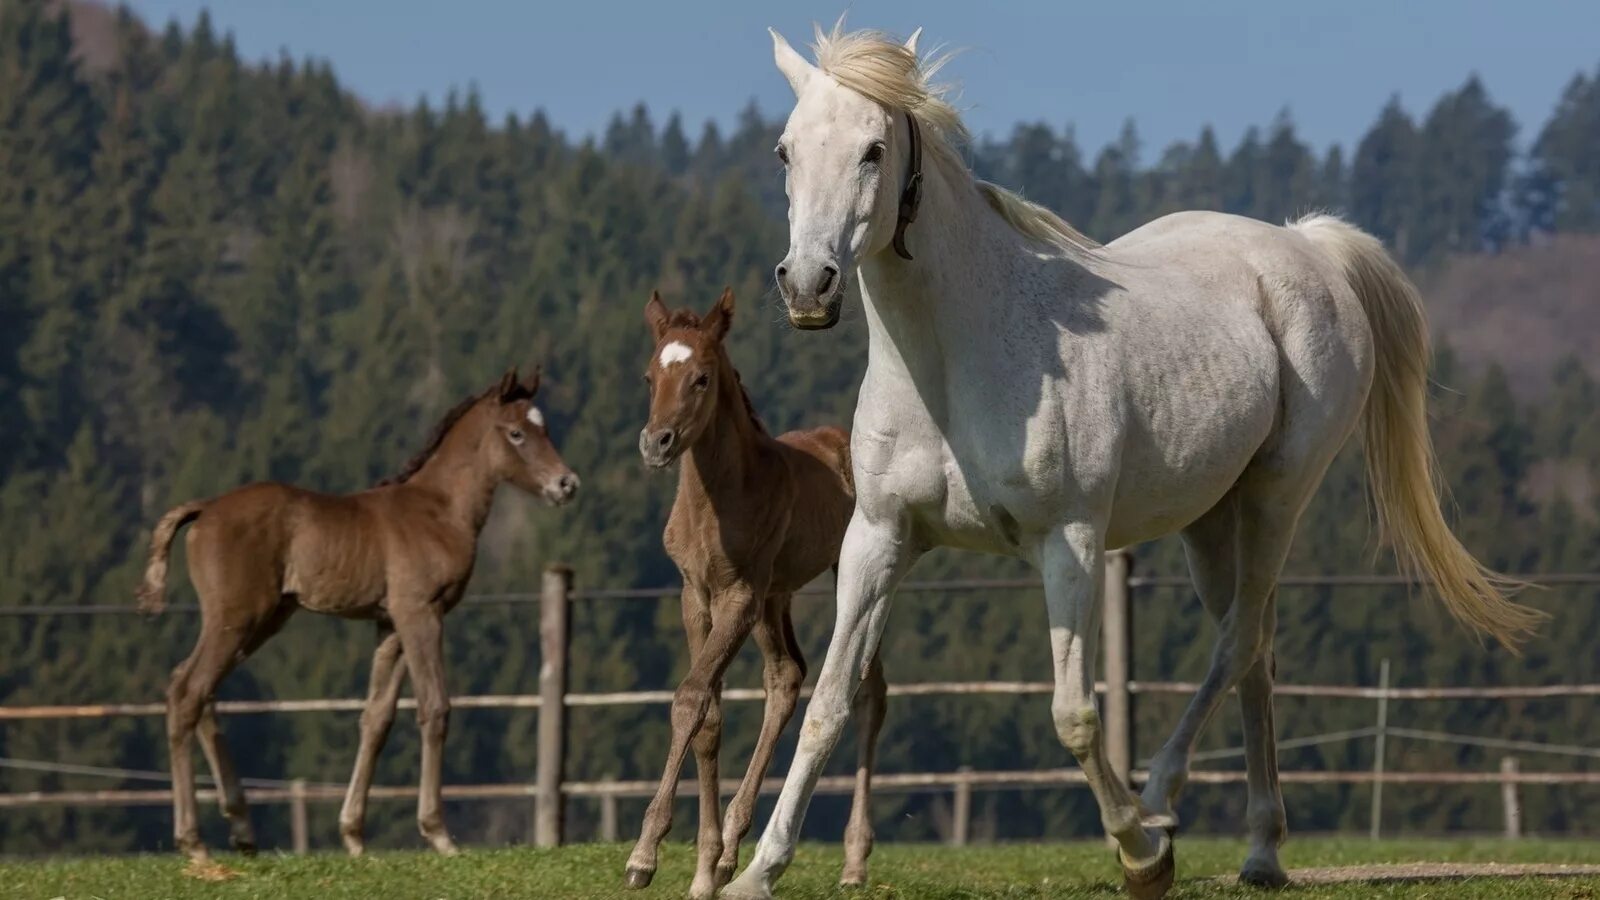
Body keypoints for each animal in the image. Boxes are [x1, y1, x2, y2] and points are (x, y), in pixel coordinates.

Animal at [136, 368, 576, 858]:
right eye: (517, 433)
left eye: (545, 428)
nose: (566, 484)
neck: (439, 510)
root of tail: (206, 509)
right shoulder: (420, 612)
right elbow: (435, 707)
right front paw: (438, 833)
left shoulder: (390, 623)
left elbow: (376, 718)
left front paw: (353, 835)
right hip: (237, 617)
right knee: (188, 691)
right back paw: (194, 842)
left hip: (263, 619)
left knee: (194, 686)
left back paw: (242, 829)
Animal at [620, 288, 889, 896]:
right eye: (648, 376)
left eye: (701, 378)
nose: (656, 443)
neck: (720, 499)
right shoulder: (696, 596)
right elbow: (707, 714)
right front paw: (703, 866)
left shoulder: (739, 597)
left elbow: (690, 697)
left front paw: (645, 855)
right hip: (776, 598)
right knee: (786, 676)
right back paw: (729, 852)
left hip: (848, 576)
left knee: (869, 693)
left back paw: (854, 861)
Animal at [723, 24, 1536, 890]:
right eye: (785, 150)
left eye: (874, 149)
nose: (808, 285)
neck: (953, 359)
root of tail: (1305, 245)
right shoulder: (880, 539)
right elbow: (829, 705)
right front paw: (755, 871)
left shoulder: (1069, 544)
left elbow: (1075, 715)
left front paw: (1141, 854)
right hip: (1209, 522)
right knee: (1256, 652)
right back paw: (1259, 852)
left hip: (1277, 496)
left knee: (1237, 644)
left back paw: (1162, 804)